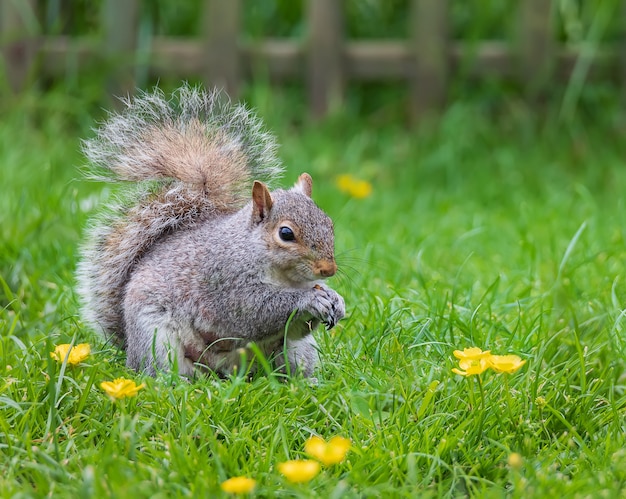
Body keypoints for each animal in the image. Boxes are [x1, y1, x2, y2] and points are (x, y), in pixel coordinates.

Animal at [77, 86, 346, 376]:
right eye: (286, 234)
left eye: (329, 223)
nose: (328, 270)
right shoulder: (225, 282)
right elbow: (255, 311)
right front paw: (310, 300)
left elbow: (296, 329)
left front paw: (336, 300)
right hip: (156, 340)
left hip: (295, 352)